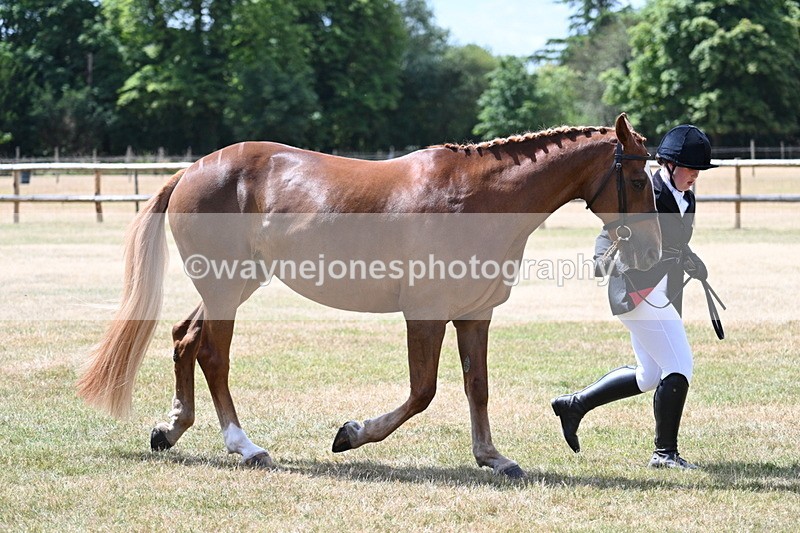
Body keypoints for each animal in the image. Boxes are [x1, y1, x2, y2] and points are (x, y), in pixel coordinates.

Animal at [77, 113, 661, 479]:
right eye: (637, 178)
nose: (655, 246)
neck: (476, 198)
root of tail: (192, 170)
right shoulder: (425, 315)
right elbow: (423, 392)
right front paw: (351, 434)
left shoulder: (475, 315)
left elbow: (477, 387)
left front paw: (493, 457)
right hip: (225, 284)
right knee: (213, 354)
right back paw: (245, 446)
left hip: (236, 282)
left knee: (186, 339)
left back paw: (171, 428)